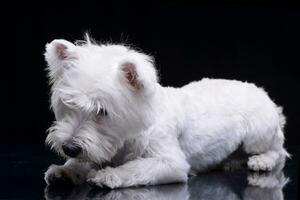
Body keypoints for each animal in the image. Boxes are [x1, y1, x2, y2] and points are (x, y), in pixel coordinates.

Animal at [43, 35, 290, 188]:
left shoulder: (170, 163)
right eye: (69, 104)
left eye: (102, 111)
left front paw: (108, 174)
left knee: (278, 150)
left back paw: (262, 161)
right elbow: (85, 160)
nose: (69, 147)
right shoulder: (99, 149)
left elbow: (136, 167)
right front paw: (66, 170)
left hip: (258, 133)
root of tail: (265, 95)